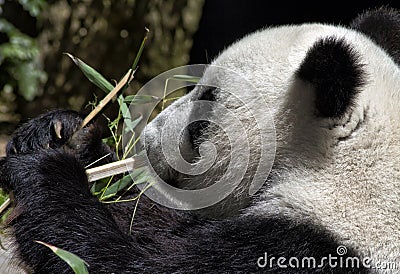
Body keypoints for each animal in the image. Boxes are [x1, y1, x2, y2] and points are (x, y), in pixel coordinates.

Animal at [0, 6, 400, 274]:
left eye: (202, 115)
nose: (149, 136)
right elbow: (150, 217)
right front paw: (67, 133)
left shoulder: (306, 248)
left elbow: (124, 262)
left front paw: (44, 170)